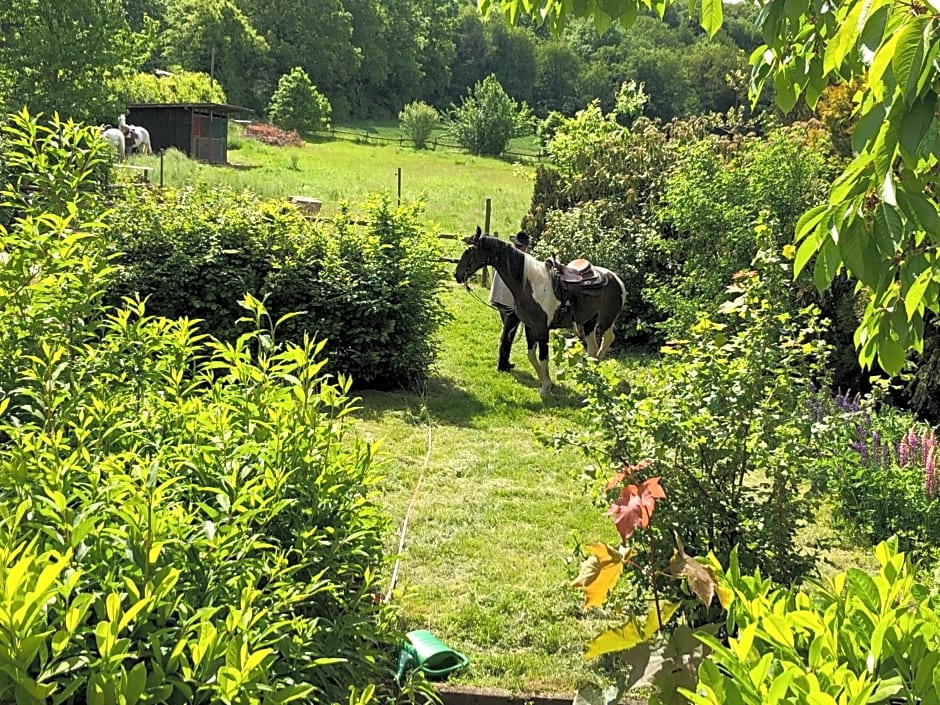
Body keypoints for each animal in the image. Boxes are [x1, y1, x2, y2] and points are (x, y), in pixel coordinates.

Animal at [454, 227, 624, 396]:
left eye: (469, 251)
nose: (456, 275)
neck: (528, 285)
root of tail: (614, 277)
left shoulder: (542, 329)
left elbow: (543, 357)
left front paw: (545, 387)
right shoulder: (530, 326)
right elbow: (531, 355)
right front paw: (546, 382)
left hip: (606, 320)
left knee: (608, 339)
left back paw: (597, 367)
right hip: (589, 321)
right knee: (592, 347)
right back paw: (591, 372)